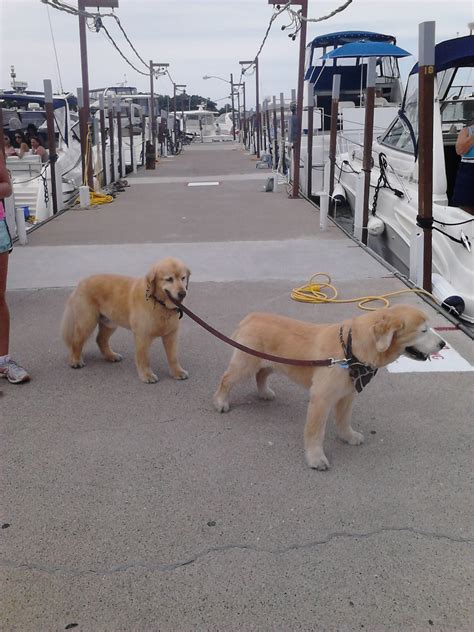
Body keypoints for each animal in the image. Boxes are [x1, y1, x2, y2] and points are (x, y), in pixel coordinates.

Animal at [61, 257, 190, 383]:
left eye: (183, 278)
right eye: (169, 279)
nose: (183, 293)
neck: (159, 303)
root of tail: (80, 283)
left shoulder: (172, 335)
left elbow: (173, 357)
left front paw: (177, 372)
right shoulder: (142, 336)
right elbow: (144, 358)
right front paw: (147, 375)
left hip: (110, 323)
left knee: (100, 339)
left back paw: (111, 355)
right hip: (87, 322)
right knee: (76, 341)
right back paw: (75, 360)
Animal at [213, 304, 445, 470]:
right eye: (423, 330)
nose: (443, 344)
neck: (350, 352)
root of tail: (251, 316)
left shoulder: (348, 394)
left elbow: (344, 420)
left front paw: (348, 436)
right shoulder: (321, 398)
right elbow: (315, 431)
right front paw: (315, 458)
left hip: (272, 363)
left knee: (261, 375)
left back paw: (264, 393)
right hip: (245, 363)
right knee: (226, 378)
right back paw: (220, 402)